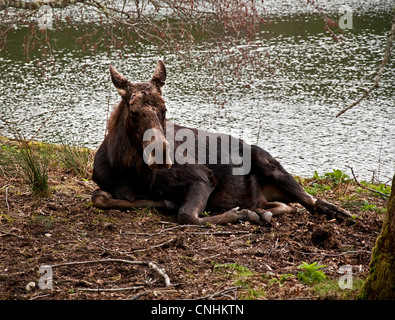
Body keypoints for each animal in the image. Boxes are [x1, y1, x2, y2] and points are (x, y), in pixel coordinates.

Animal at [91, 60, 352, 225]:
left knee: (310, 200)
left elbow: (188, 216)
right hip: (267, 193)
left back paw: (339, 212)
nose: (162, 155)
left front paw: (241, 215)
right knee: (284, 205)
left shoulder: (203, 176)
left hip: (269, 163)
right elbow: (99, 197)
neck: (128, 171)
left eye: (164, 110)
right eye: (133, 112)